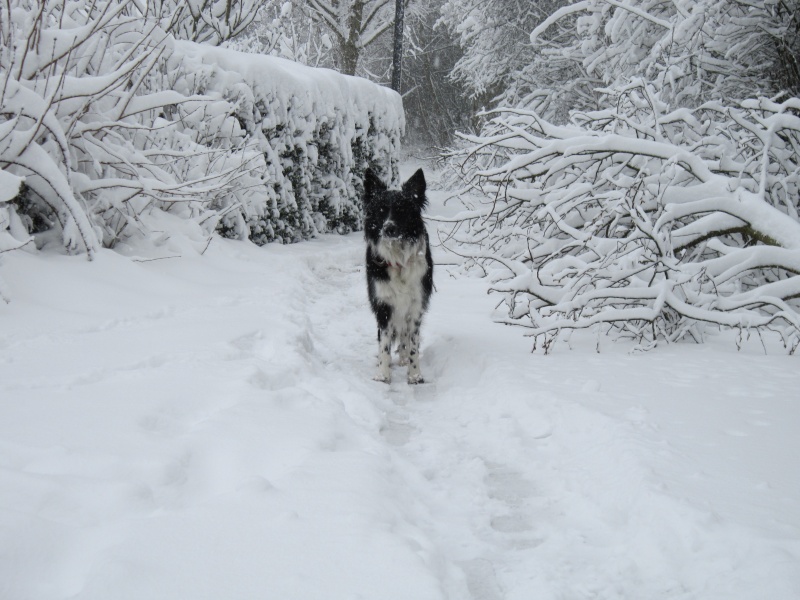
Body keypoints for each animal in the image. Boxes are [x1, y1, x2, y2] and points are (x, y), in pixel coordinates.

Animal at [366, 169, 434, 384]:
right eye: (380, 211)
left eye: (401, 210)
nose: (389, 228)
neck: (398, 258)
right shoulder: (383, 304)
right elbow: (384, 342)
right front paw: (383, 374)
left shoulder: (415, 304)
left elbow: (412, 343)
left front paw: (414, 375)